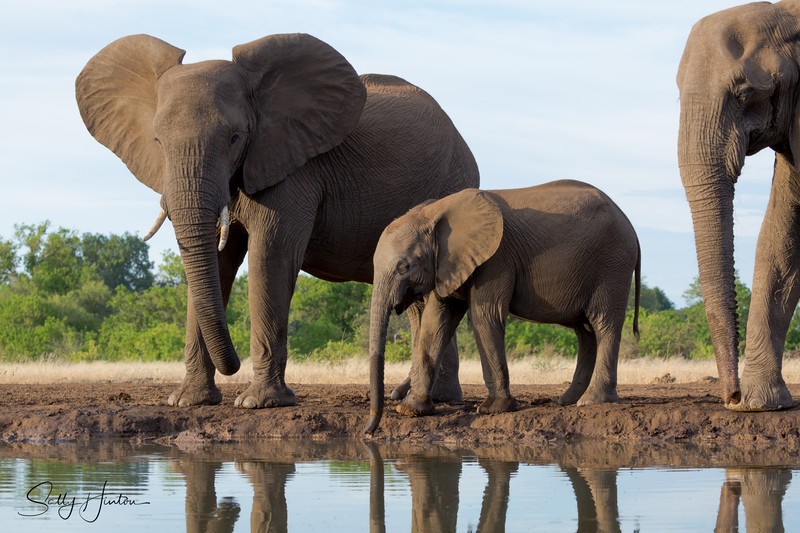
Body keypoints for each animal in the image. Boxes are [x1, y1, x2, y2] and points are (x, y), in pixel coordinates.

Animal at [76, 33, 478, 408]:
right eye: (158, 141)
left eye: (235, 137)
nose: (232, 365)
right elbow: (215, 262)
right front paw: (188, 401)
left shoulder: (294, 169)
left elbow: (270, 257)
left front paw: (257, 402)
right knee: (419, 301)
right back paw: (416, 396)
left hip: (451, 188)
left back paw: (436, 398)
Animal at [364, 180, 641, 434]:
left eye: (404, 267)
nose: (369, 431)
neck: (435, 210)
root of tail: (632, 227)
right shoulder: (449, 264)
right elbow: (436, 321)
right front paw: (409, 410)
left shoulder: (496, 259)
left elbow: (484, 316)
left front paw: (492, 409)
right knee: (585, 331)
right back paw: (566, 401)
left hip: (612, 265)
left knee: (603, 324)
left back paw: (590, 402)